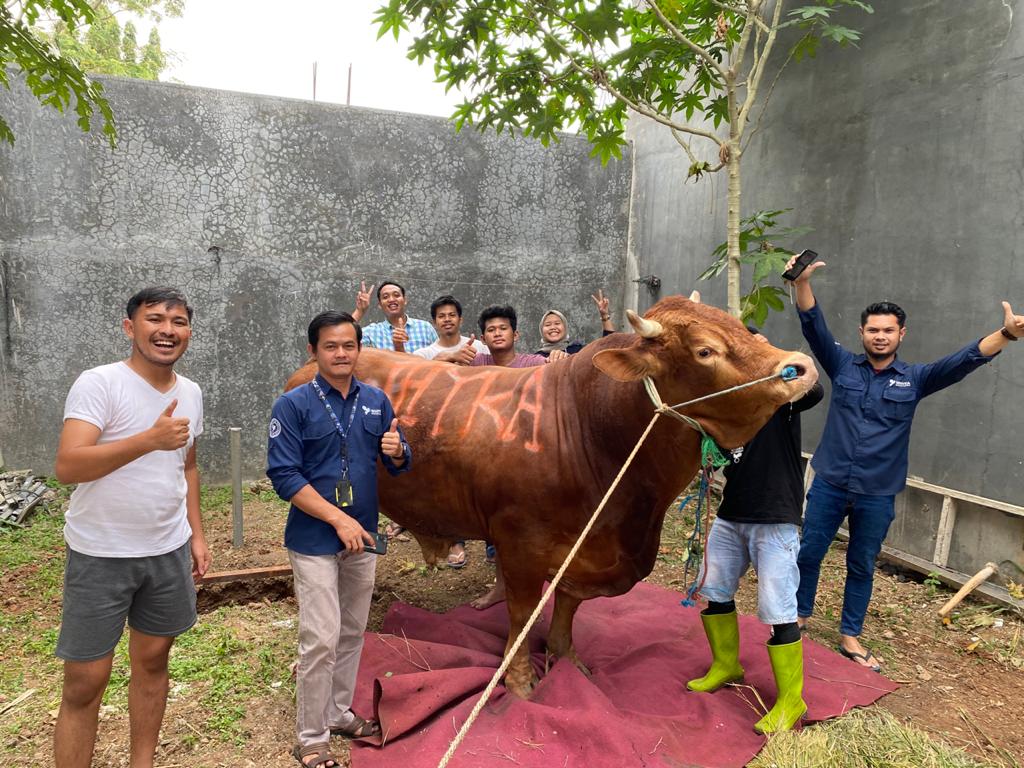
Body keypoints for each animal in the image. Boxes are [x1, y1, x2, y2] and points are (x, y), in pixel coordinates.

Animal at [286, 296, 815, 700]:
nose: (802, 367)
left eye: (745, 329)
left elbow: (566, 605)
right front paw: (520, 682)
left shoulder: (582, 548)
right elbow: (522, 613)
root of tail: (311, 366)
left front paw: (566, 659)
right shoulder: (521, 544)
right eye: (705, 351)